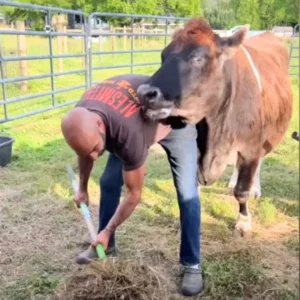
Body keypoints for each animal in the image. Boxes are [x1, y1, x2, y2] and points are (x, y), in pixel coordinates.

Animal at [138, 18, 292, 237]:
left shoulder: (251, 149)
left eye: (198, 58)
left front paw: (243, 222)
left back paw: (256, 188)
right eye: (163, 56)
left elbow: (242, 191)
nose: (144, 93)